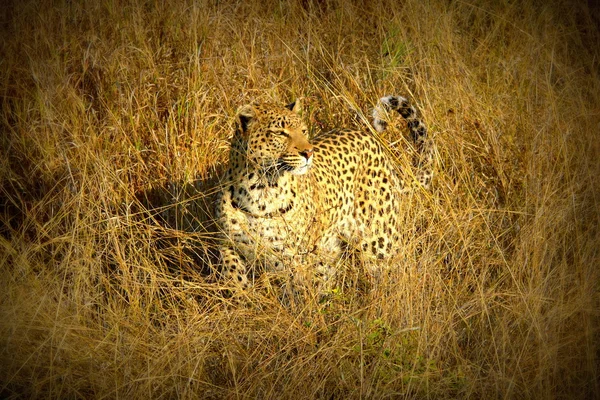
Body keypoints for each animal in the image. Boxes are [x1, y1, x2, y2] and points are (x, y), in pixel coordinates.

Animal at [213, 95, 434, 292]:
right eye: (280, 133)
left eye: (303, 131)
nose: (308, 152)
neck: (260, 188)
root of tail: (371, 139)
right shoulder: (227, 243)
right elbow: (233, 271)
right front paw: (241, 294)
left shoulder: (295, 257)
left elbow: (299, 291)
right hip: (328, 248)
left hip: (379, 239)